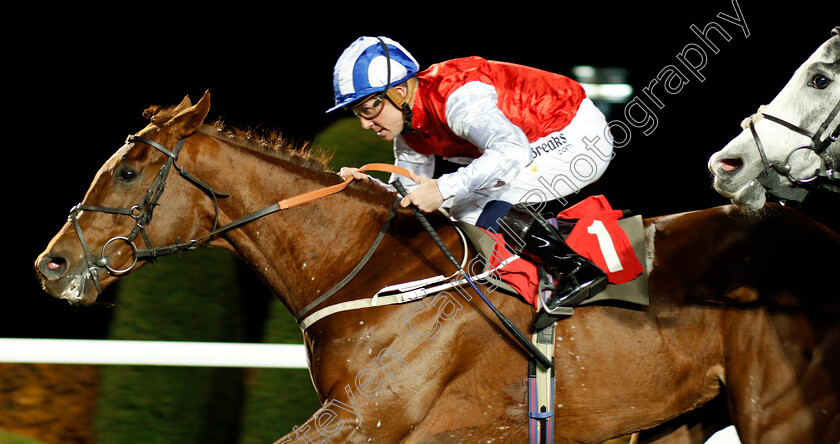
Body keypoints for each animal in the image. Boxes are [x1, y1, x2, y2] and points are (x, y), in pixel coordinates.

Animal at [36, 92, 840, 442]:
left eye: (131, 171)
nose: (51, 264)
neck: (372, 272)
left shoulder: (368, 418)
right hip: (679, 418)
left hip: (780, 414)